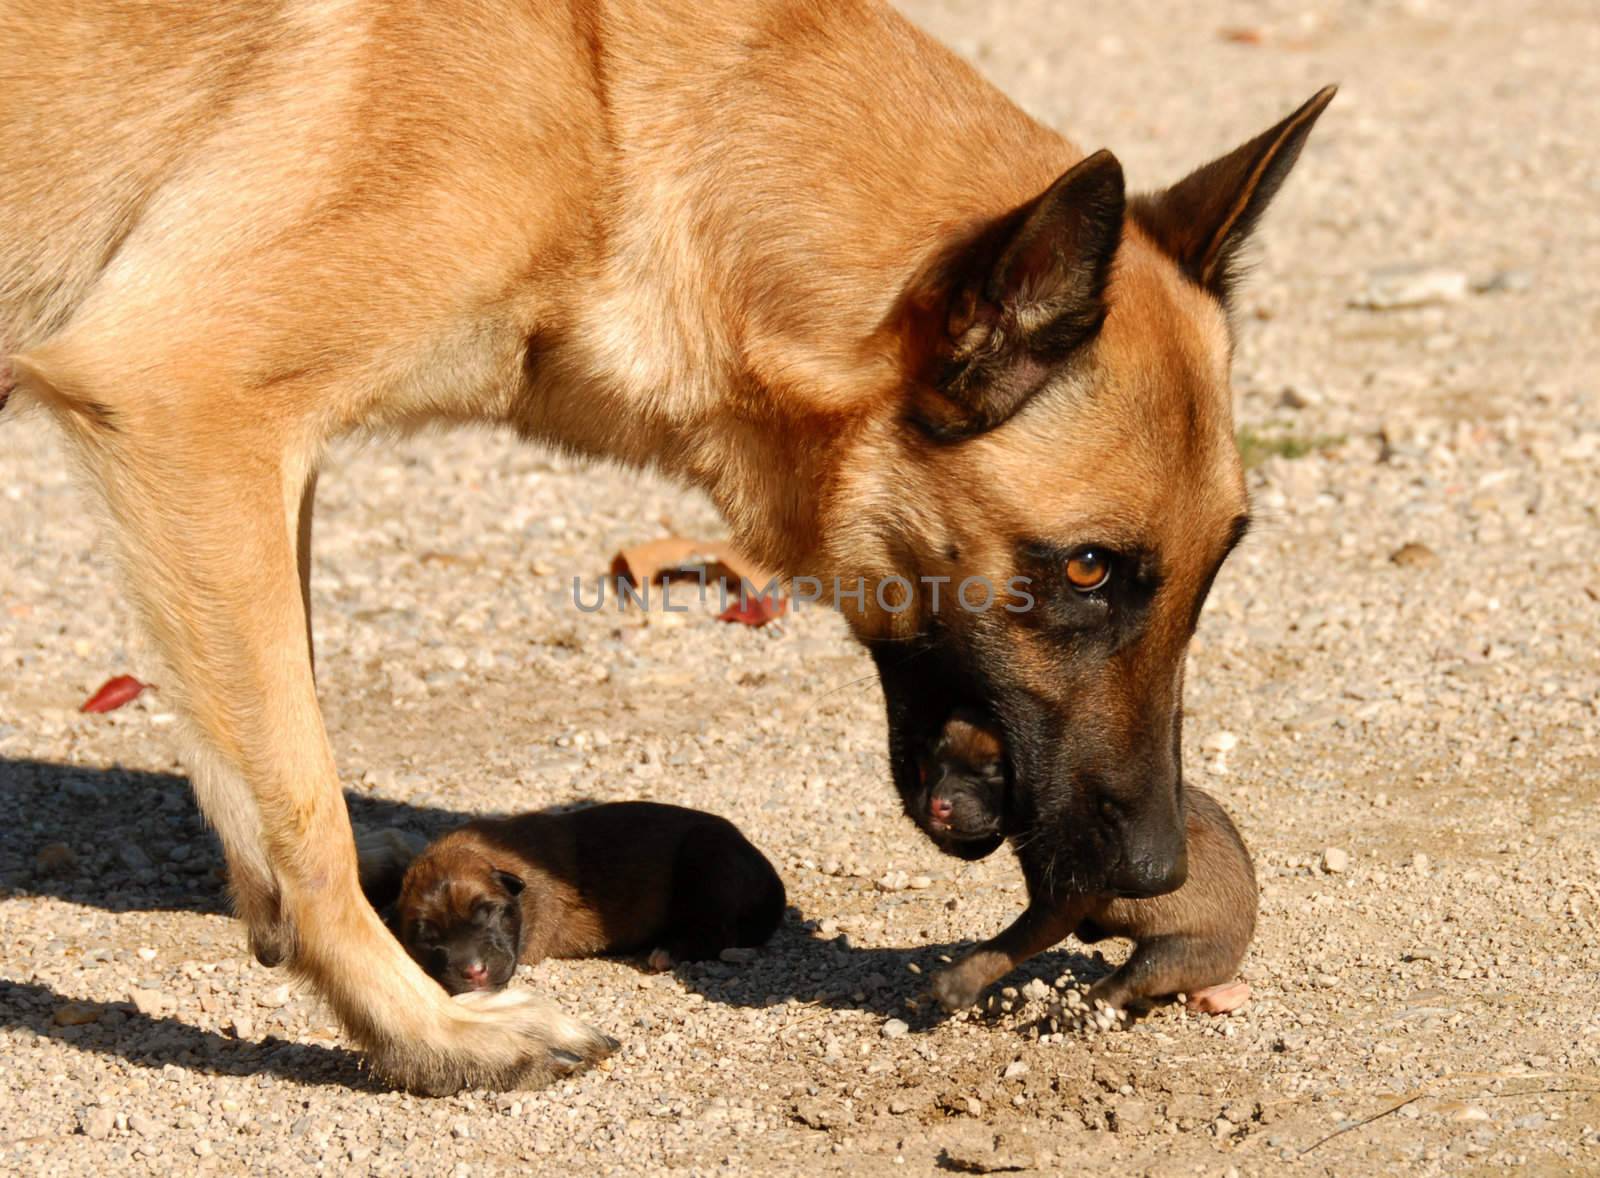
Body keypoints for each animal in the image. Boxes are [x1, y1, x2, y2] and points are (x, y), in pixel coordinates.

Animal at [364, 800, 787, 992]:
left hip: (708, 860)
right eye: (427, 938)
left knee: (719, 933)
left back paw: (666, 951)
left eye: (488, 913)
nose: (474, 972)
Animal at [921, 713, 1254, 1017]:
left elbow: (1008, 943)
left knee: (1129, 979)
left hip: (1175, 951)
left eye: (992, 771)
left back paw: (1080, 1009)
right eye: (940, 763)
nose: (937, 804)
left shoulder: (1059, 906)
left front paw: (957, 982)